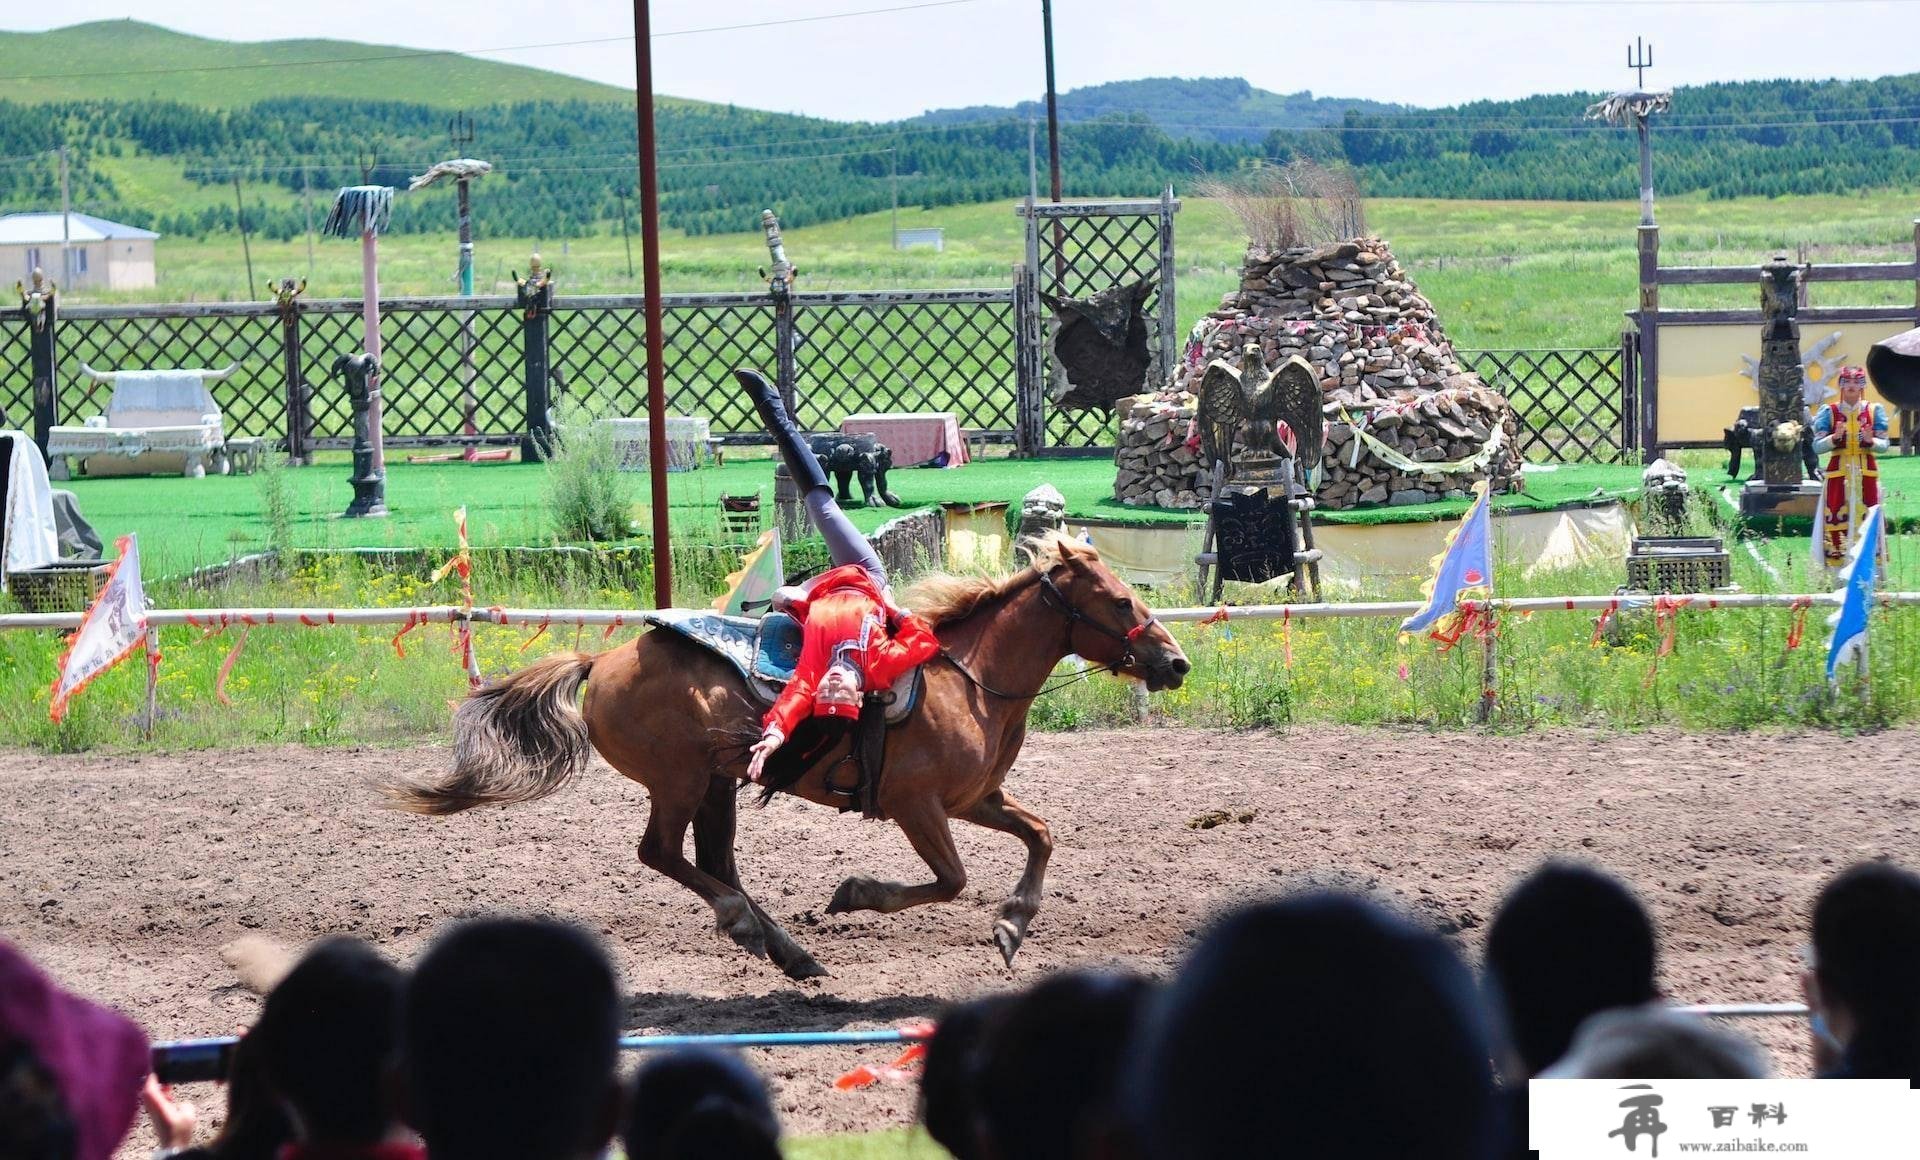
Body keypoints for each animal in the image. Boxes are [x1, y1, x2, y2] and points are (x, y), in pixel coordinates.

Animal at [389, 533, 1182, 979]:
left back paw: (787, 952)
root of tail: (602, 660)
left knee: (715, 863)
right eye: (1119, 601)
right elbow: (952, 880)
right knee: (662, 855)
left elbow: (1042, 835)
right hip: (679, 782)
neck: (969, 676)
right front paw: (857, 894)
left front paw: (1014, 924)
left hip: (716, 786)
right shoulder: (917, 806)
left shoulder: (975, 800)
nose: (1175, 662)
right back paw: (747, 927)